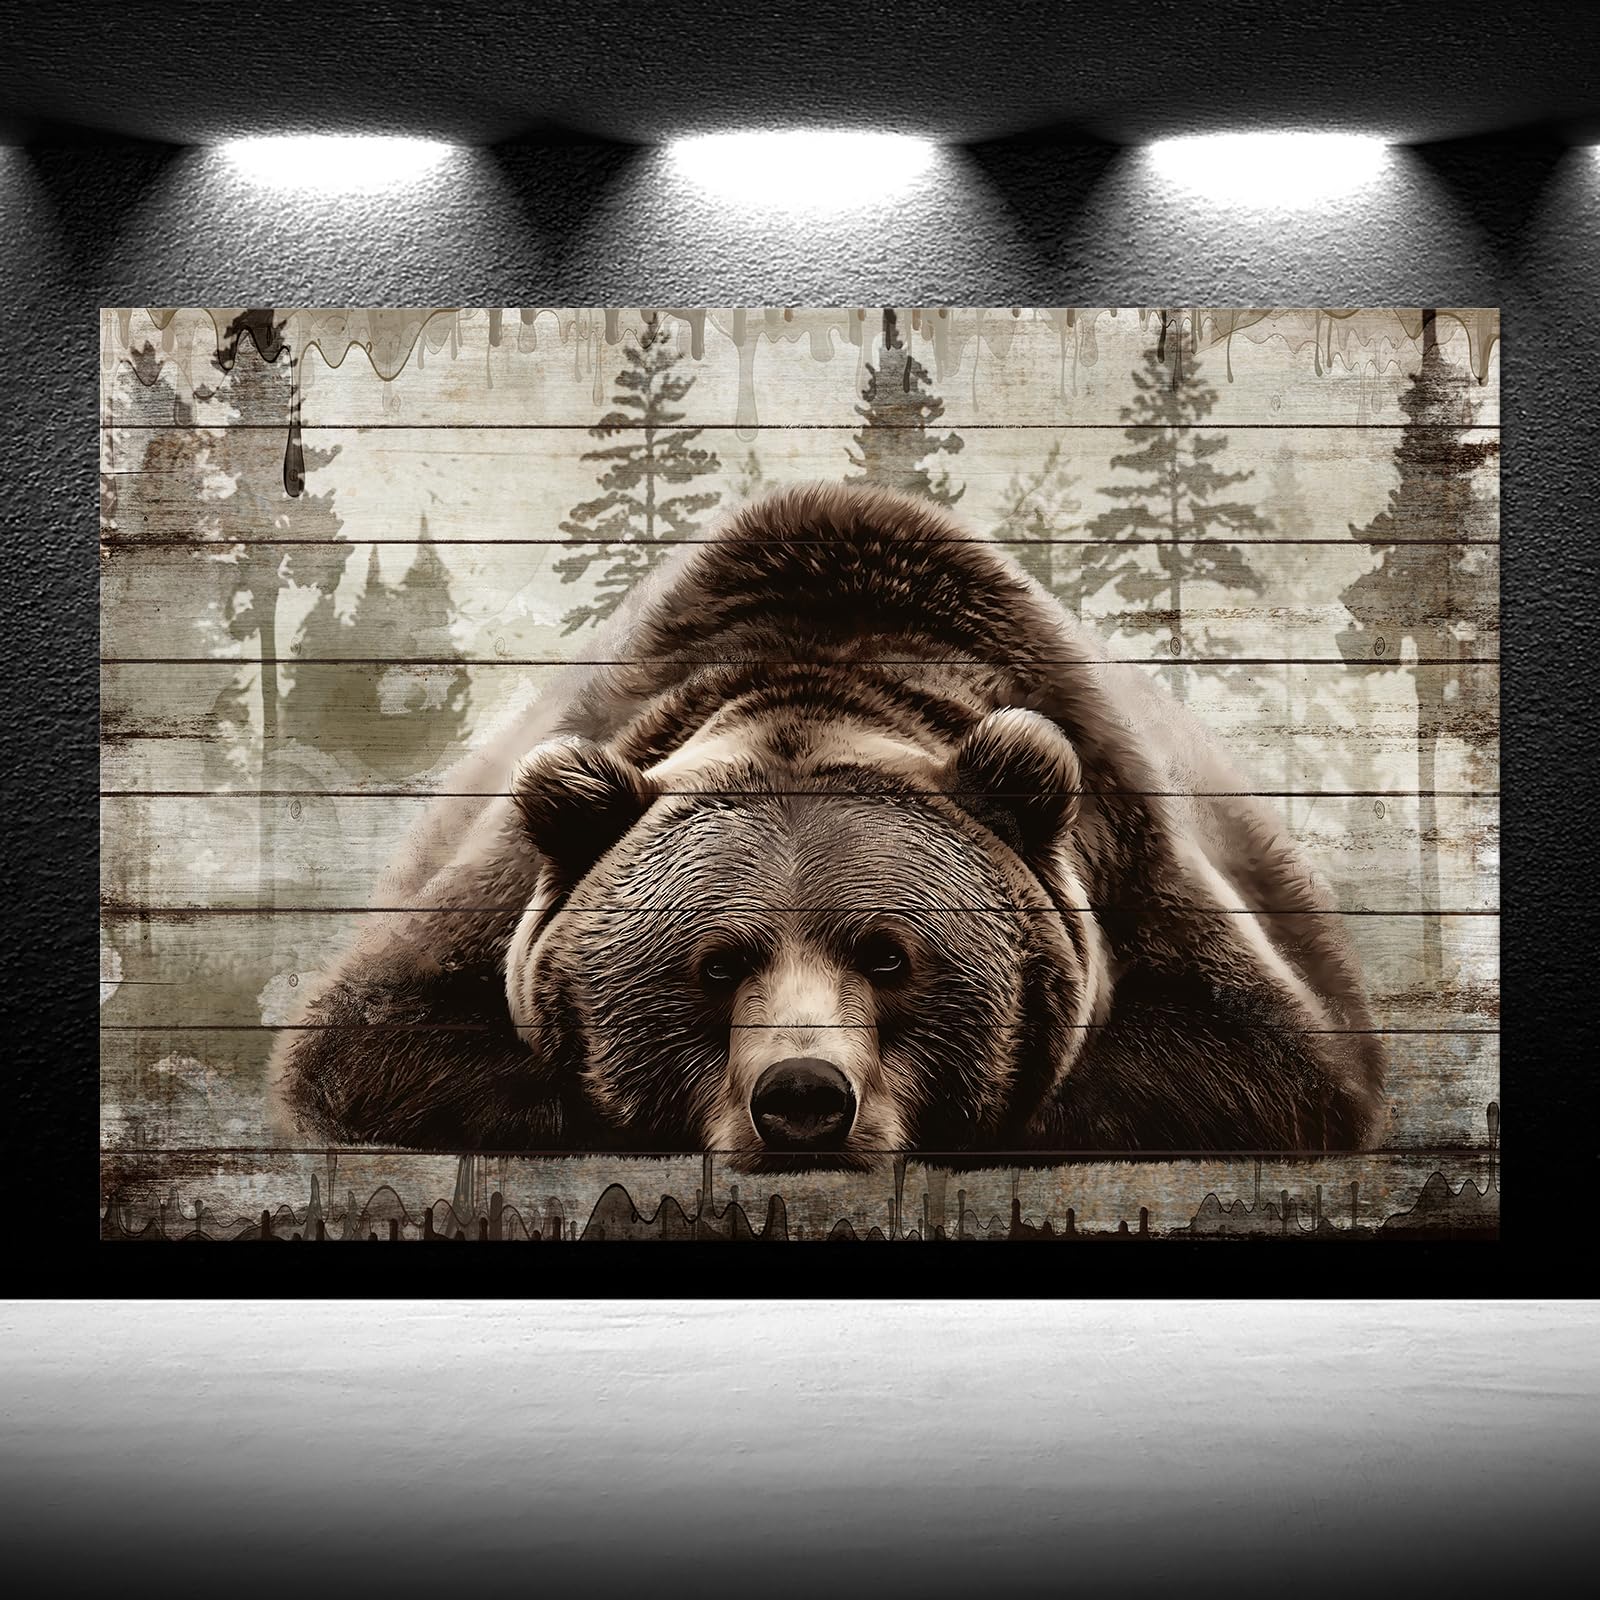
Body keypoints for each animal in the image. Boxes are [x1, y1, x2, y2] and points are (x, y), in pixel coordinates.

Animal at [270, 482, 1385, 1167]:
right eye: (716, 962)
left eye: (889, 954)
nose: (802, 1095)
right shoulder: (499, 888)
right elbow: (376, 1039)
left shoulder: (1130, 858)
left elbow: (1253, 1058)